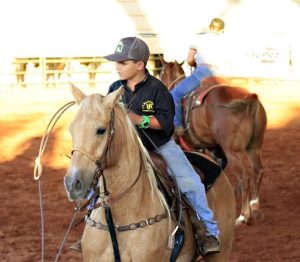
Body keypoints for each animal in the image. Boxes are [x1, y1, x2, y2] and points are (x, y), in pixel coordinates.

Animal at [159, 58, 268, 225]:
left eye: (161, 73)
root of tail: (250, 100)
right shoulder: (213, 148)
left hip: (233, 151)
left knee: (244, 176)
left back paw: (244, 215)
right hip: (254, 147)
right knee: (258, 170)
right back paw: (254, 206)